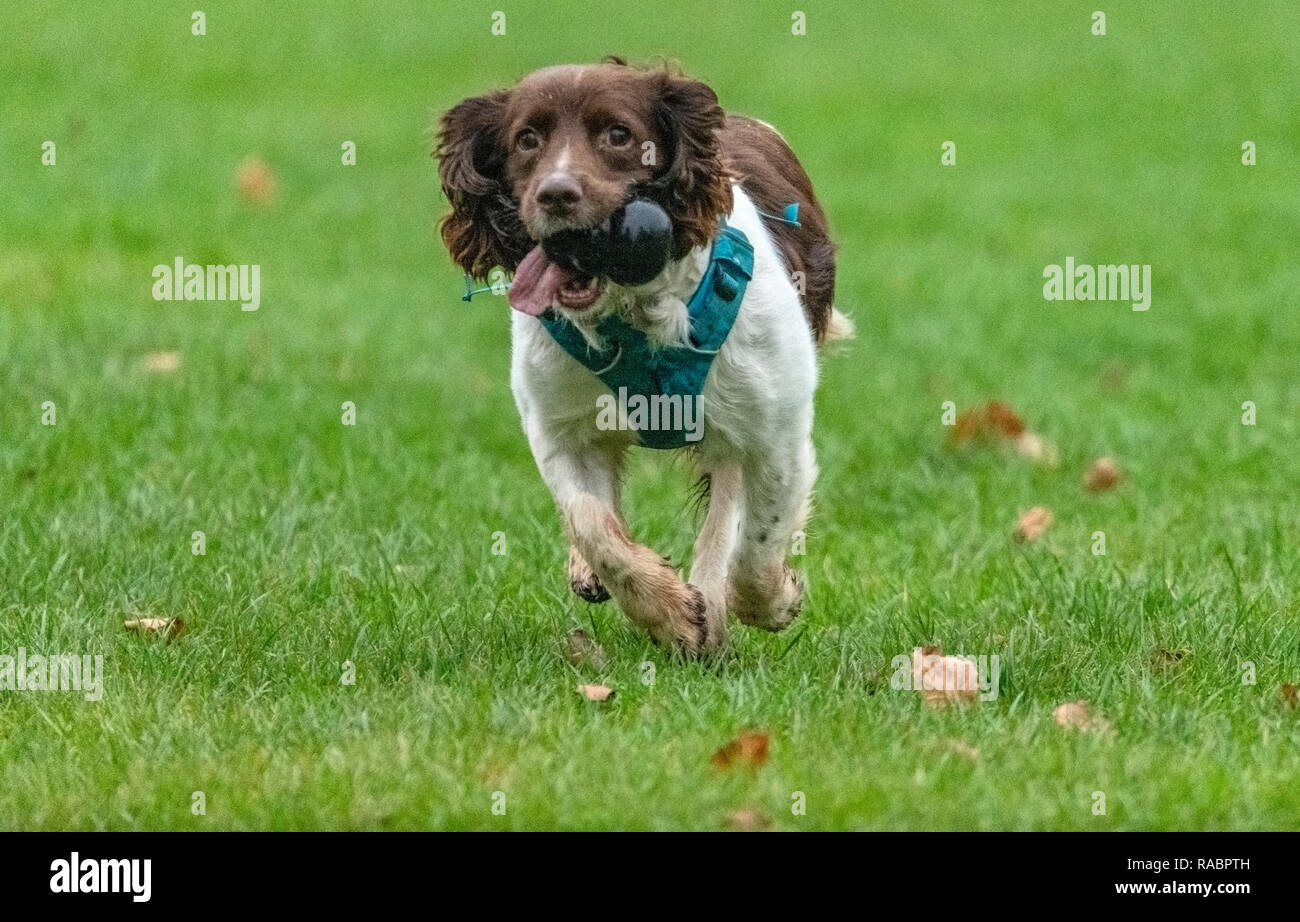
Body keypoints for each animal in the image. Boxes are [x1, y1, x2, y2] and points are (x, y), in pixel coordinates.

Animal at [431, 57, 847, 650]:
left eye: (619, 135)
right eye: (527, 139)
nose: (556, 194)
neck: (637, 317)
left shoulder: (774, 436)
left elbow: (754, 549)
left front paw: (772, 602)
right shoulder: (558, 427)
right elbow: (593, 525)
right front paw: (667, 612)